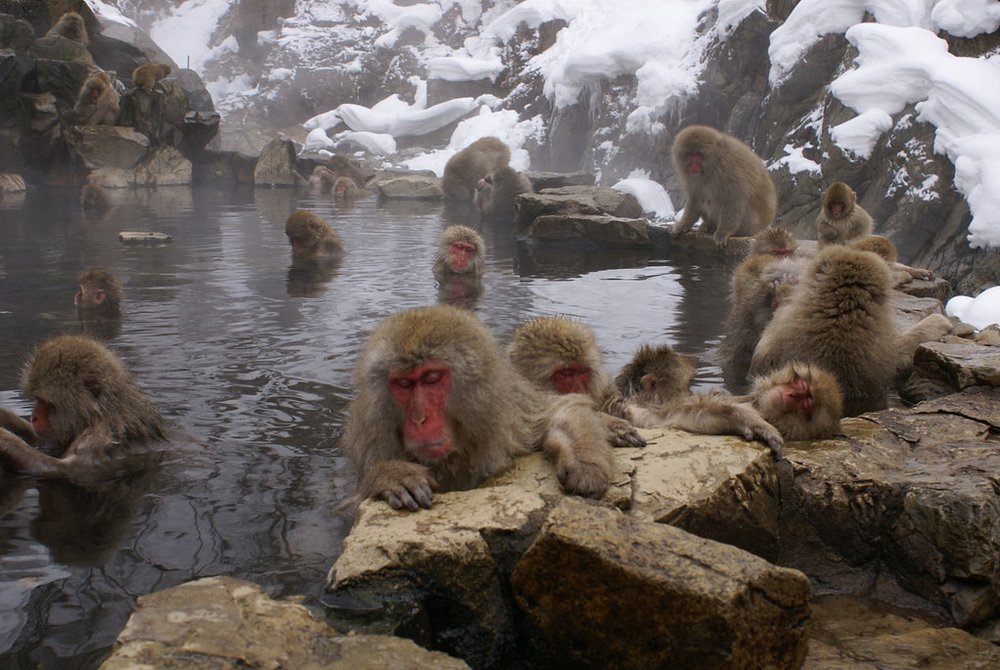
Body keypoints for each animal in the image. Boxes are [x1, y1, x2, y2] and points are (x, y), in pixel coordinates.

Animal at [0, 335, 165, 482]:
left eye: (46, 402)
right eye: (38, 399)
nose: (34, 417)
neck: (101, 412)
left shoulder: (99, 436)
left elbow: (66, 470)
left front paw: (4, 438)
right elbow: (44, 441)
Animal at [341, 305, 615, 511]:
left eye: (431, 378)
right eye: (405, 384)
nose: (419, 419)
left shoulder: (509, 412)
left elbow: (559, 409)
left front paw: (584, 463)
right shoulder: (373, 438)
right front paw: (391, 474)